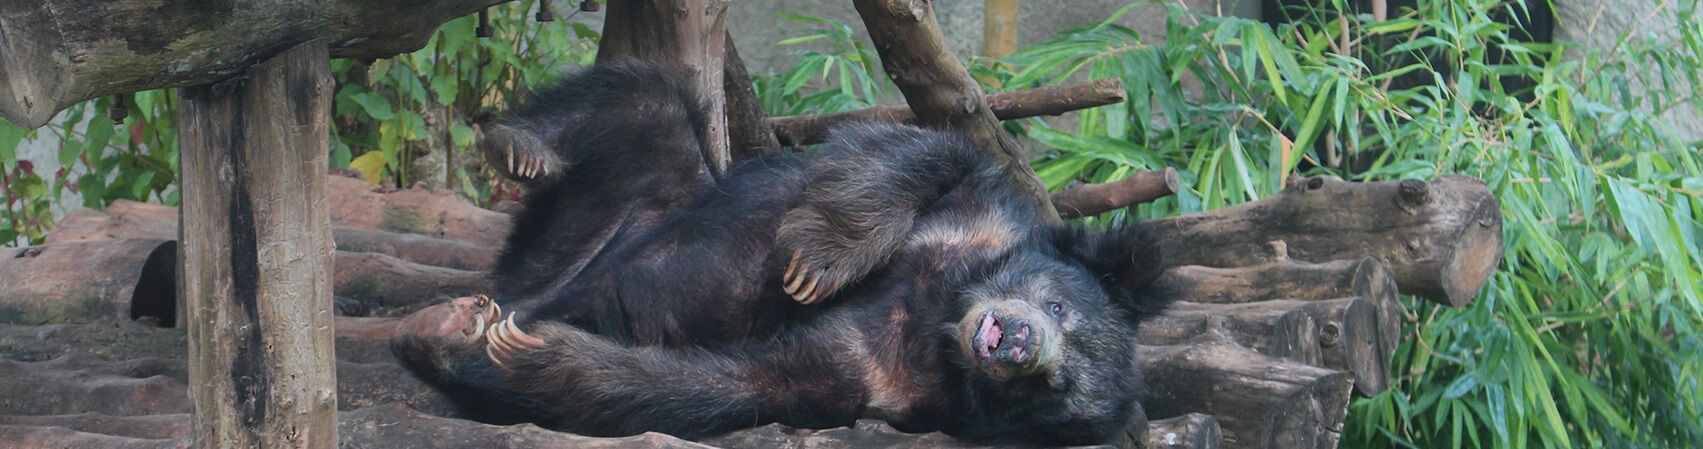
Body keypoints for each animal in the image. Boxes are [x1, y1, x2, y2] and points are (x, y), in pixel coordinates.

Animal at [391, 60, 1171, 445]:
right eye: (1058, 305)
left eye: (1054, 388)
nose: (1014, 338)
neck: (939, 312)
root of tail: (527, 281)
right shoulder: (982, 213)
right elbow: (918, 150)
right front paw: (816, 260)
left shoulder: (872, 379)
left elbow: (746, 381)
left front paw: (523, 351)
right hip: (622, 210)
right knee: (639, 97)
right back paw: (518, 147)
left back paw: (455, 326)